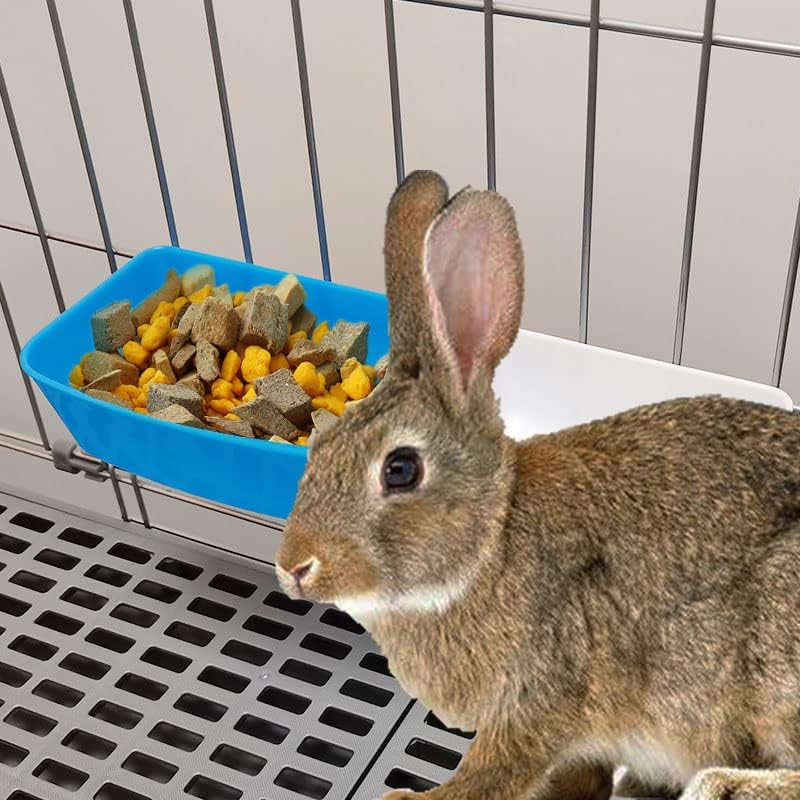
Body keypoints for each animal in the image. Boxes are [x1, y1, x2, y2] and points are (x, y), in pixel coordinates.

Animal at [275, 169, 800, 800]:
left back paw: (721, 783)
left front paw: (405, 797)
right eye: (318, 444)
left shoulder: (538, 697)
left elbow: (490, 773)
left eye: (399, 468)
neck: (489, 547)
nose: (294, 566)